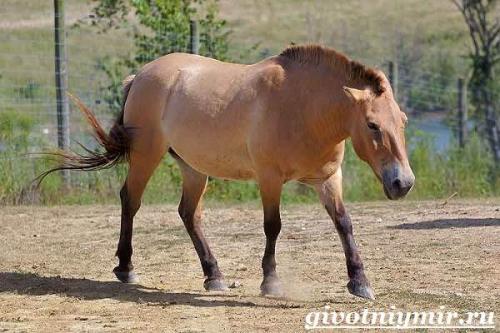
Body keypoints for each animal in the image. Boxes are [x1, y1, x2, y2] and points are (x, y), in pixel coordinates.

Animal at [39, 43, 414, 298]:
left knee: (189, 214)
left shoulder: (327, 179)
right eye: (372, 125)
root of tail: (140, 76)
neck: (303, 107)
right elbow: (273, 226)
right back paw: (126, 268)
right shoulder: (269, 178)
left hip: (192, 167)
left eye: (403, 121)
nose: (403, 183)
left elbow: (344, 224)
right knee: (130, 200)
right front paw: (270, 282)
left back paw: (214, 275)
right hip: (147, 155)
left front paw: (360, 282)